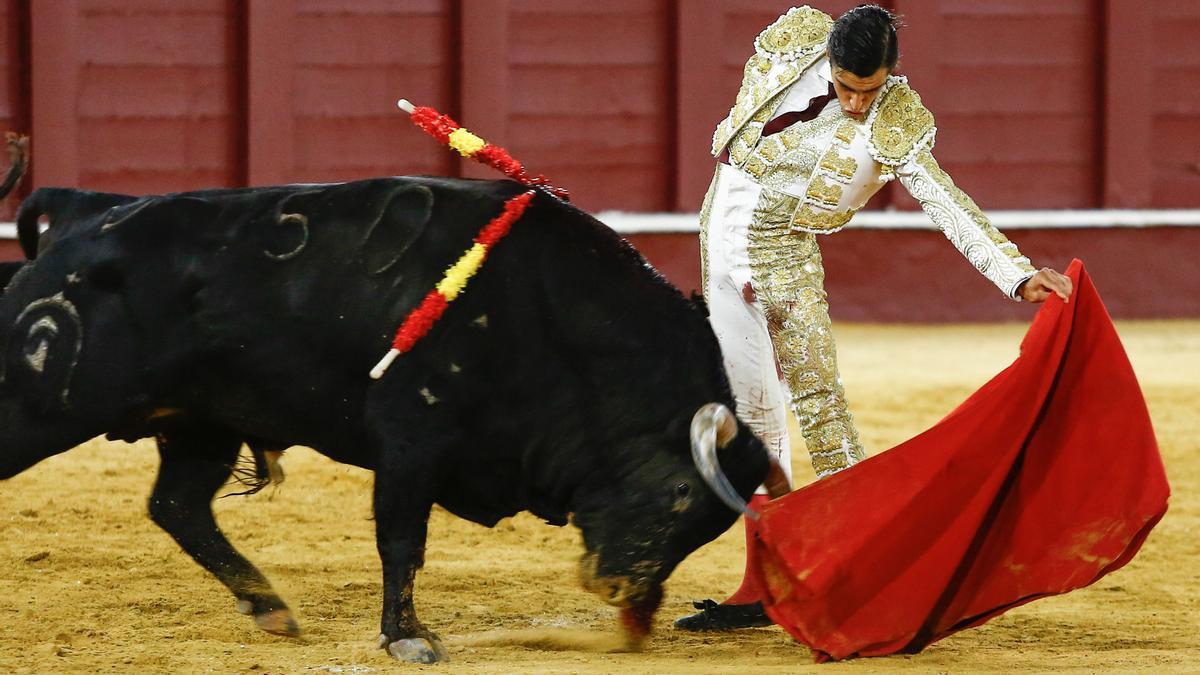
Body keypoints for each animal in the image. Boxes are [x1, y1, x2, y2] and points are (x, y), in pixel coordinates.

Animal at [0, 176, 768, 658]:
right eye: (680, 492)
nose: (624, 593)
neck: (552, 313)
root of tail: (86, 208)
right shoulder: (410, 436)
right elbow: (402, 541)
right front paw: (409, 637)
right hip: (41, 407)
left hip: (200, 422)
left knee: (179, 506)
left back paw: (270, 606)